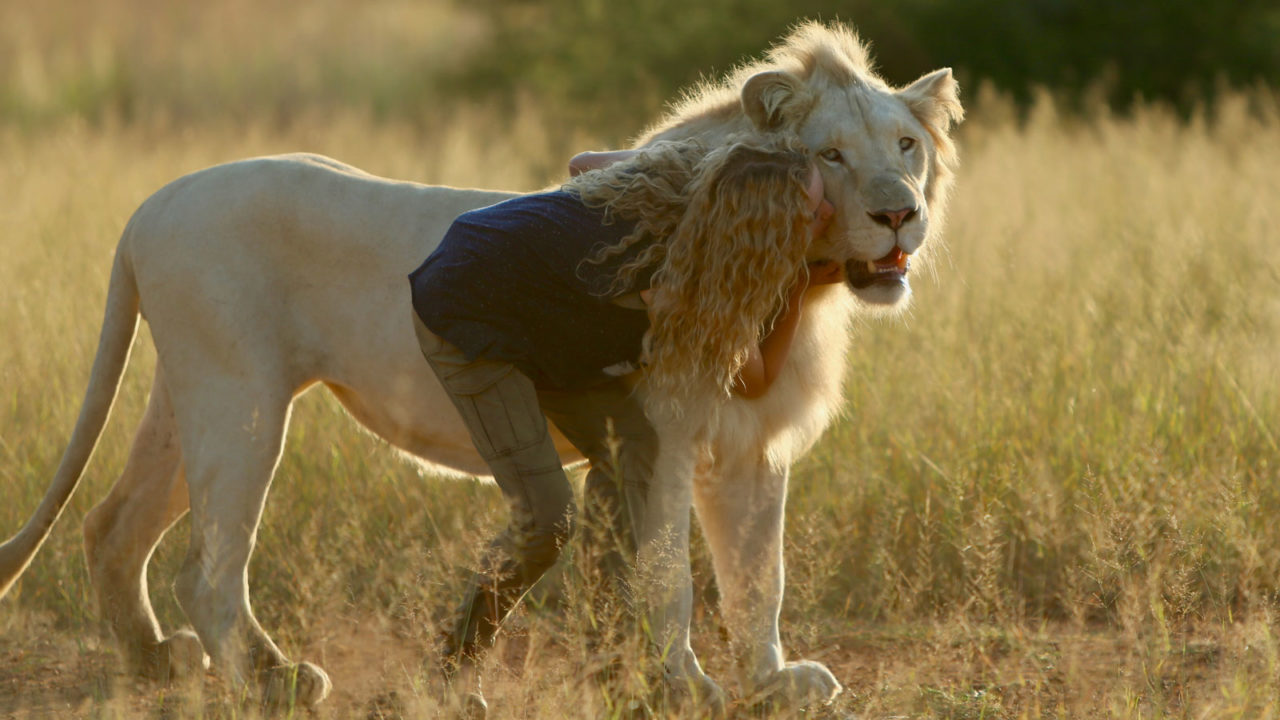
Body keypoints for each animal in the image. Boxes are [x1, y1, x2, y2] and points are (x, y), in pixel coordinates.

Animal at [0, 22, 962, 712]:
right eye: (831, 154)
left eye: (906, 146)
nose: (899, 216)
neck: (796, 282)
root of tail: (148, 207)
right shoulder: (658, 432)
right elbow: (669, 576)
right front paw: (682, 686)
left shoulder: (754, 448)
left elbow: (760, 577)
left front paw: (771, 683)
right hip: (241, 401)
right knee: (206, 566)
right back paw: (274, 682)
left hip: (188, 393)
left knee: (112, 526)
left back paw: (155, 666)